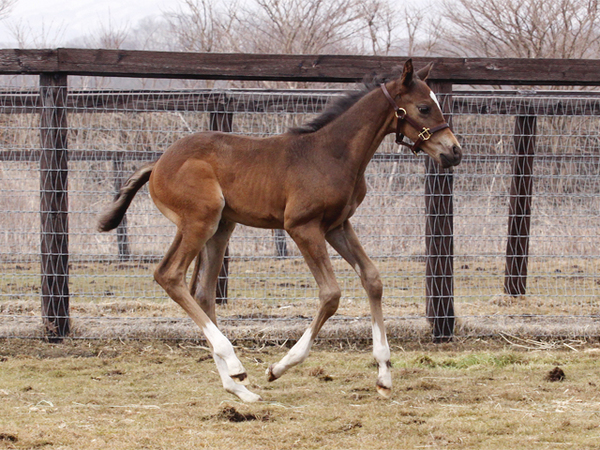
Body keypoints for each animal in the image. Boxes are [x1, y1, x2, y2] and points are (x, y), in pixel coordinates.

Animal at [98, 59, 464, 400]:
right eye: (424, 107)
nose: (454, 151)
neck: (332, 154)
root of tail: (157, 164)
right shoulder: (301, 226)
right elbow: (331, 294)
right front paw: (279, 367)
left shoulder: (337, 225)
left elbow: (372, 279)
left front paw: (384, 377)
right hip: (201, 220)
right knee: (170, 275)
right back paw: (236, 366)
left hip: (220, 227)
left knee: (202, 293)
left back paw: (237, 388)